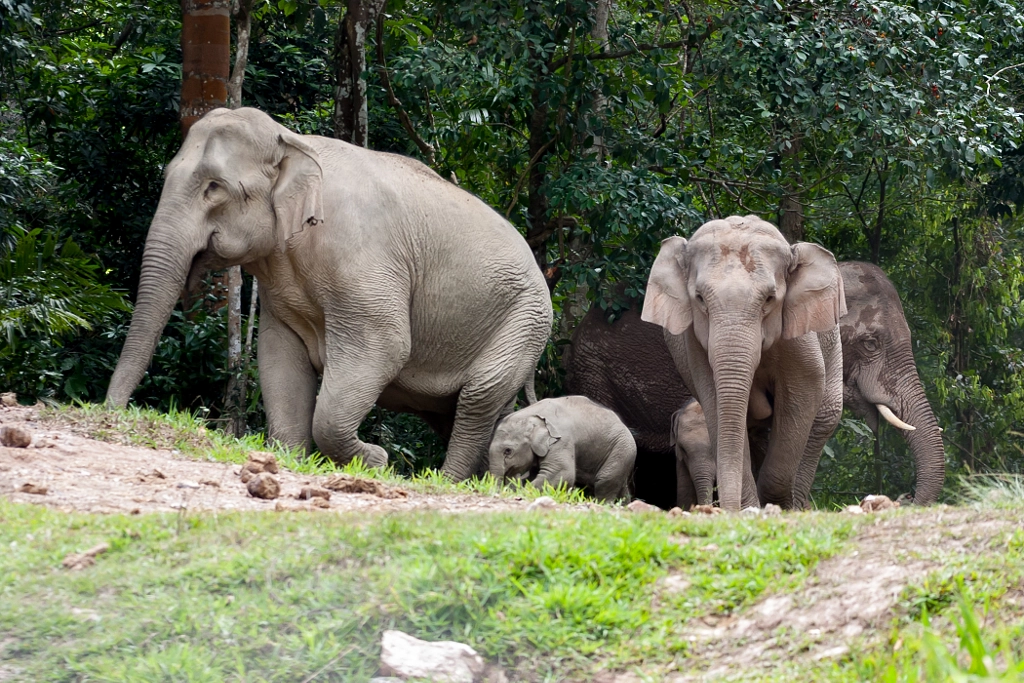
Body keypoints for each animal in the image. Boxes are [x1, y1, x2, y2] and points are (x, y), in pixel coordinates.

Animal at [106, 107, 553, 480]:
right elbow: (278, 355)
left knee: (478, 398)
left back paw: (447, 481)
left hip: (525, 322)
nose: (114, 412)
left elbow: (384, 346)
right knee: (468, 410)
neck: (293, 141)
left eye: (214, 187)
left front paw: (377, 460)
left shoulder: (363, 259)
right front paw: (288, 459)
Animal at [488, 396, 636, 502]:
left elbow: (561, 472)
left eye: (508, 451)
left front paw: (522, 493)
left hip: (622, 449)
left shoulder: (562, 441)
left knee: (604, 480)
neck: (532, 415)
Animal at [641, 215, 846, 511]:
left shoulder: (798, 335)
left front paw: (776, 505)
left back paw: (798, 504)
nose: (725, 509)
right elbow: (713, 399)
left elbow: (803, 390)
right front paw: (752, 506)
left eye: (770, 298)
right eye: (699, 298)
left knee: (824, 418)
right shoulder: (695, 343)